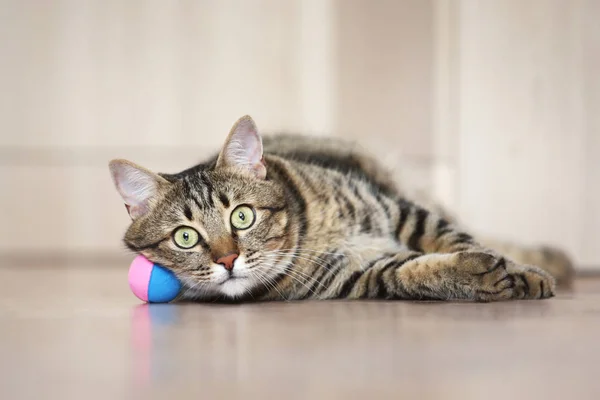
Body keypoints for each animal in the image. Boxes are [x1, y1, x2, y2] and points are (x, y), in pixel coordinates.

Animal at [110, 115, 576, 304]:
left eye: (242, 216)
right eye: (185, 237)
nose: (227, 259)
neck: (311, 232)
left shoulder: (398, 211)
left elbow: (454, 237)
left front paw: (522, 274)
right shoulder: (356, 275)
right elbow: (413, 272)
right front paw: (477, 274)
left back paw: (552, 260)